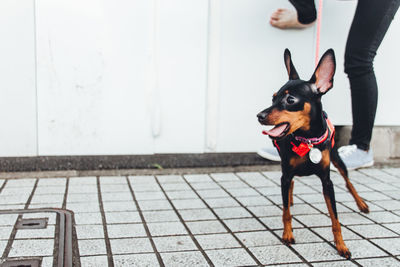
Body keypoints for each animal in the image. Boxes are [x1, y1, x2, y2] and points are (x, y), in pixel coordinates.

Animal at [256, 48, 368, 260]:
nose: (259, 115)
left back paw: (361, 203)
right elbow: (286, 212)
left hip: (337, 158)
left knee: (348, 182)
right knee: (290, 186)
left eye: (290, 100)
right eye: (273, 97)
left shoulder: (327, 181)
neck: (307, 140)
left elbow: (335, 219)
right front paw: (288, 234)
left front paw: (341, 245)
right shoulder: (285, 173)